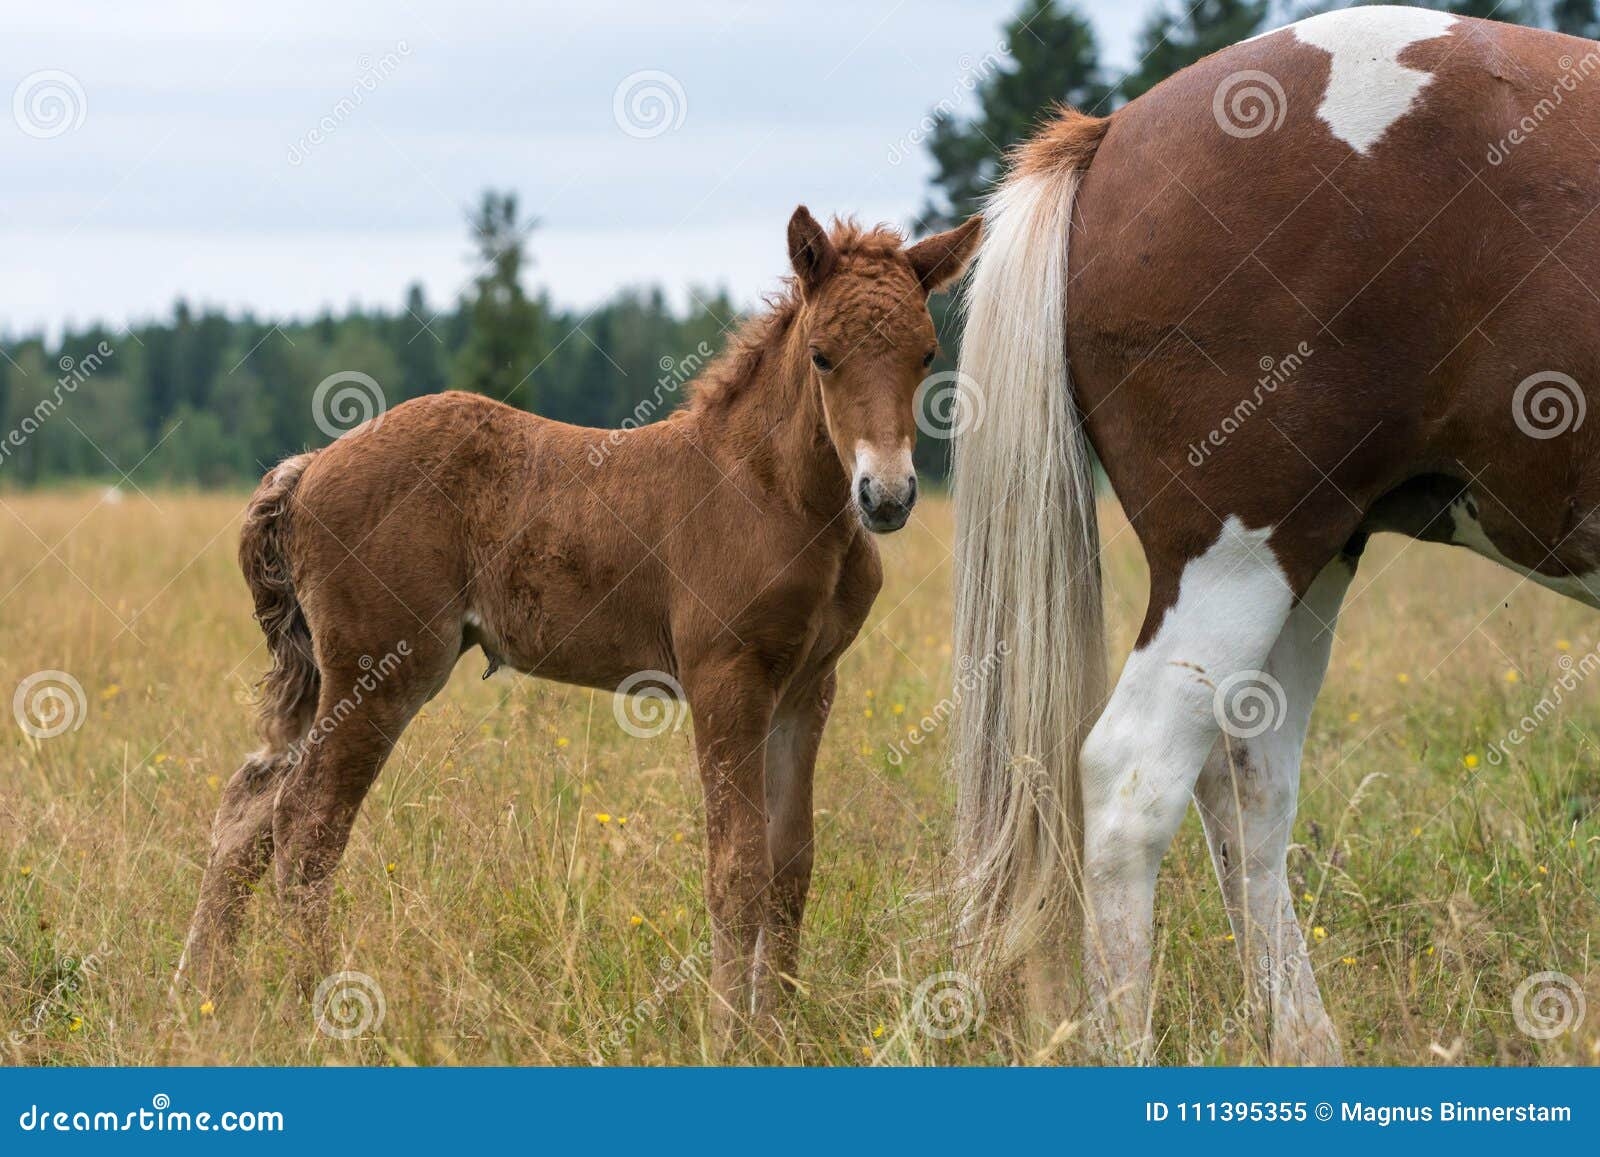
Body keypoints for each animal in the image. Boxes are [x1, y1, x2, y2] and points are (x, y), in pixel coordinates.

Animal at [172, 204, 972, 1043]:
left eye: (926, 354)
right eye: (822, 356)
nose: (887, 495)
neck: (772, 493)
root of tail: (308, 467)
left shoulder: (809, 686)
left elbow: (792, 864)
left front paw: (778, 1030)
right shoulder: (727, 678)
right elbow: (738, 866)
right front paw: (729, 1032)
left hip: (332, 675)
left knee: (248, 810)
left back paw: (202, 990)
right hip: (380, 669)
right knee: (307, 822)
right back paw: (319, 1005)